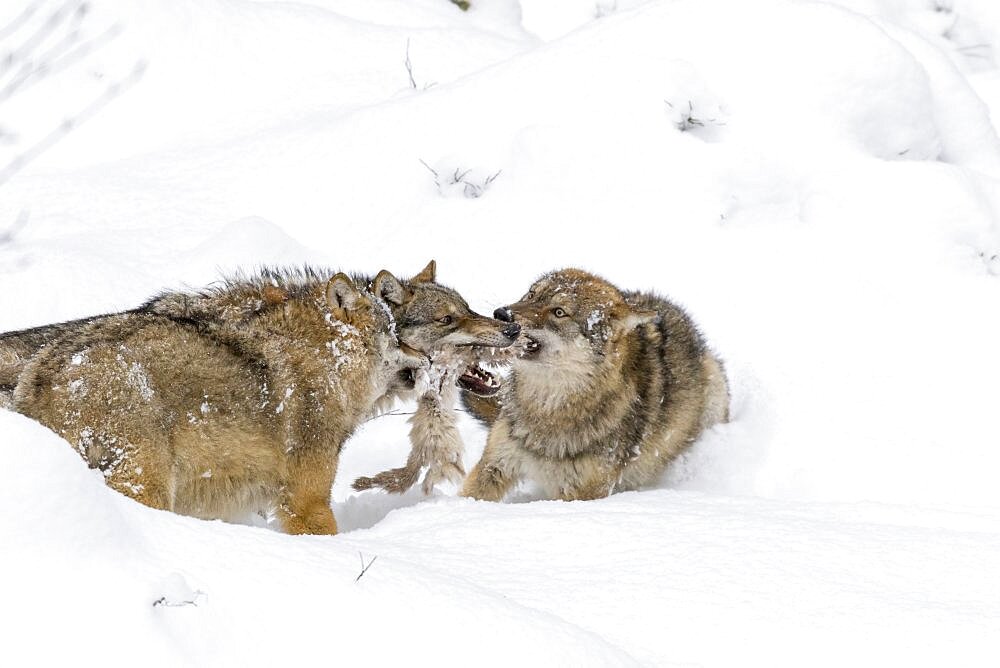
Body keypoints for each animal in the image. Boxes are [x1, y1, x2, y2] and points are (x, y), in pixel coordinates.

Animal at [11, 268, 420, 536]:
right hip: (147, 482)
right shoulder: (306, 500)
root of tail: (42, 371)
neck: (326, 363)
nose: (428, 358)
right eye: (396, 336)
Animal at [458, 266, 728, 500]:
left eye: (559, 312)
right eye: (532, 294)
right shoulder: (494, 465)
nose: (501, 314)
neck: (548, 408)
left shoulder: (583, 493)